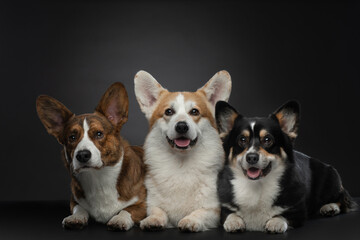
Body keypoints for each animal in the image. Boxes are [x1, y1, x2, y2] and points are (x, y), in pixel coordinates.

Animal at [37, 83, 147, 231]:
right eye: (72, 137)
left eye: (99, 134)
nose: (82, 155)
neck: (98, 179)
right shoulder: (74, 201)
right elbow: (79, 209)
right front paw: (75, 218)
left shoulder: (145, 203)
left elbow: (128, 210)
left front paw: (119, 219)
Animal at [134, 70, 232, 232]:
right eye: (168, 111)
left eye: (194, 111)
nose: (181, 126)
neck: (181, 164)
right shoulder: (153, 204)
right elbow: (158, 211)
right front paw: (152, 220)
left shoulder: (213, 210)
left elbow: (199, 212)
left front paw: (189, 220)